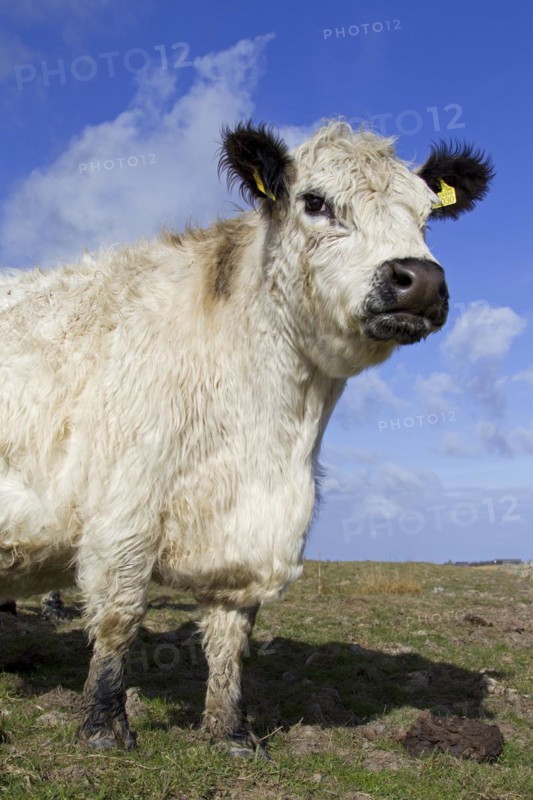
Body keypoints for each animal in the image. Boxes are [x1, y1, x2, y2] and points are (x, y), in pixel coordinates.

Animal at [0, 121, 493, 755]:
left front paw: (229, 731)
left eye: (427, 215)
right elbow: (119, 617)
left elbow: (232, 635)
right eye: (315, 202)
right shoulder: (123, 512)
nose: (421, 280)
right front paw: (105, 726)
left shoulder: (247, 532)